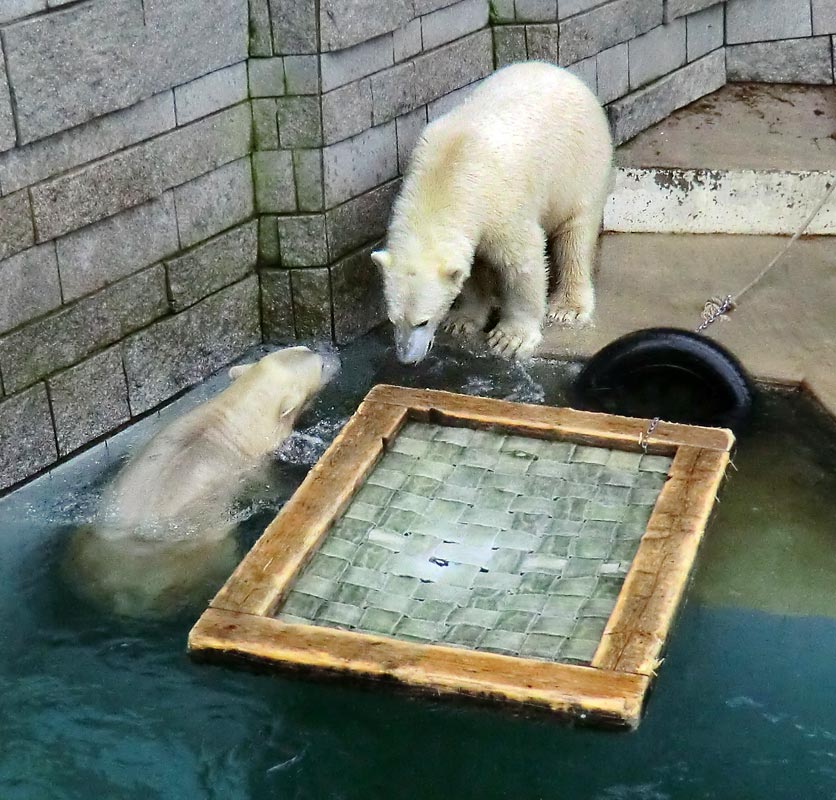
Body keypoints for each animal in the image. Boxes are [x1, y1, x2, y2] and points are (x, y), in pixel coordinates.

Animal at [372, 62, 612, 362]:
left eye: (423, 322)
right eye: (393, 320)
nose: (407, 359)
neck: (447, 173)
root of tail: (568, 75)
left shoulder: (502, 203)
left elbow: (522, 262)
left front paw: (510, 338)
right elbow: (472, 270)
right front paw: (460, 320)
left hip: (579, 167)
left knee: (575, 235)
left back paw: (567, 307)